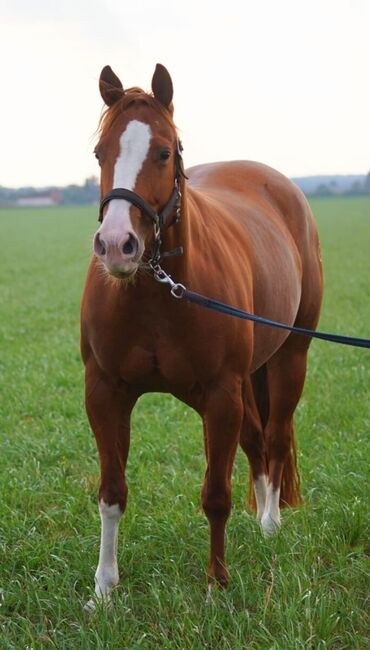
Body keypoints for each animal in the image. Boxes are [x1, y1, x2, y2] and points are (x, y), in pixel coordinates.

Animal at [79, 63, 322, 604]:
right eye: (100, 152)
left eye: (163, 151)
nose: (116, 245)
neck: (156, 291)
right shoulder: (105, 392)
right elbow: (111, 492)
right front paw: (104, 587)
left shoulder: (219, 395)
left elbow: (215, 495)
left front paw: (216, 584)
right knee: (256, 440)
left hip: (290, 357)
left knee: (275, 438)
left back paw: (270, 524)